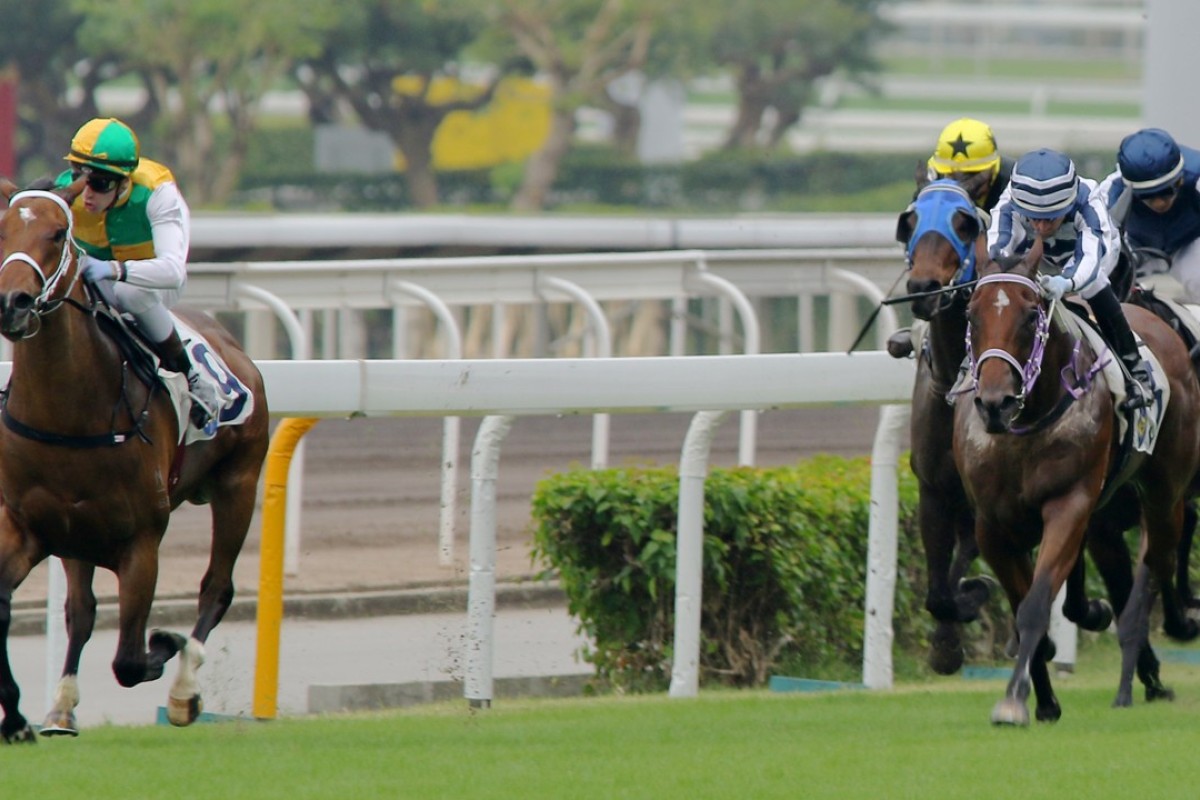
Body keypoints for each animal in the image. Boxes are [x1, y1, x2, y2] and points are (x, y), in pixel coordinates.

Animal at [0, 176, 270, 743]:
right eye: (1, 229)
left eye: (58, 234)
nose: (12, 302)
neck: (69, 413)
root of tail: (231, 345)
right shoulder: (32, 525)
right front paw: (16, 717)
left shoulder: (141, 540)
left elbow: (128, 658)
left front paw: (167, 644)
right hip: (76, 536)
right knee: (81, 612)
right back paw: (61, 709)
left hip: (239, 483)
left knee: (217, 587)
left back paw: (185, 691)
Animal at [955, 244, 1200, 724]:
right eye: (972, 314)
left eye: (1031, 315)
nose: (995, 403)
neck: (1026, 425)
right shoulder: (992, 527)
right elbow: (1022, 606)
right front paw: (1044, 700)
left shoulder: (1069, 505)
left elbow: (1034, 606)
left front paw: (1014, 699)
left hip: (1164, 495)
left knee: (1156, 565)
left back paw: (1143, 669)